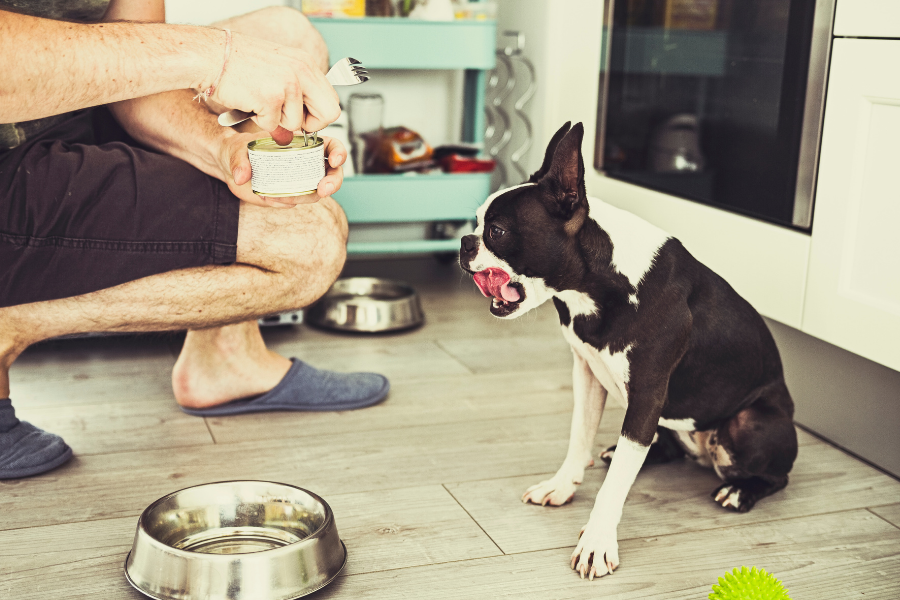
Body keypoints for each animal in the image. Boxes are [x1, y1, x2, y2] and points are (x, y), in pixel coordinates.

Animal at [460, 123, 800, 580]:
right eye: (476, 222)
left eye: (496, 231)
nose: (465, 242)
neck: (598, 283)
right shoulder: (587, 374)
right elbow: (579, 436)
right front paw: (562, 485)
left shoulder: (647, 396)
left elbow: (615, 485)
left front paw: (596, 543)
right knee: (656, 445)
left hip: (746, 424)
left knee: (778, 476)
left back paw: (740, 491)